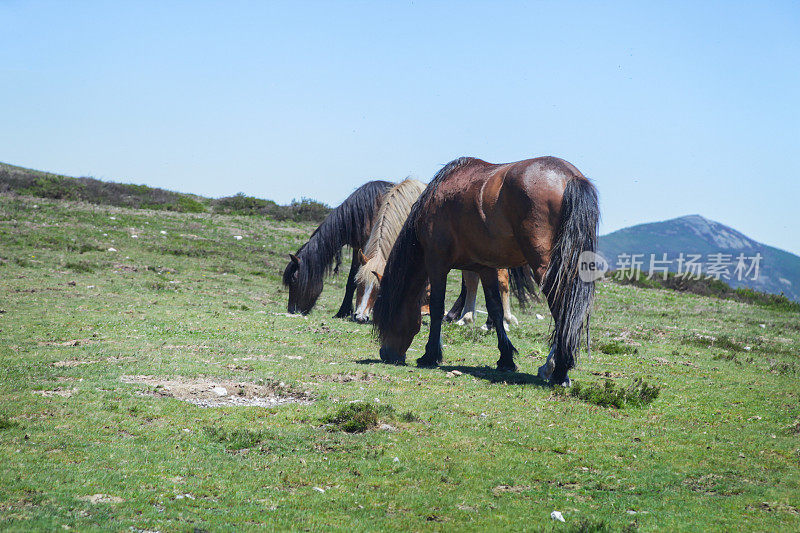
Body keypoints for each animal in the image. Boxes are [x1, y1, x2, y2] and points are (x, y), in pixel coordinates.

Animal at [372, 156, 596, 384]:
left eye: (382, 315)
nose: (385, 354)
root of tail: (570, 177)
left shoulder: (436, 263)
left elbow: (436, 307)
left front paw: (430, 355)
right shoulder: (486, 268)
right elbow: (495, 309)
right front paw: (505, 358)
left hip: (546, 268)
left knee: (562, 309)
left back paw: (558, 370)